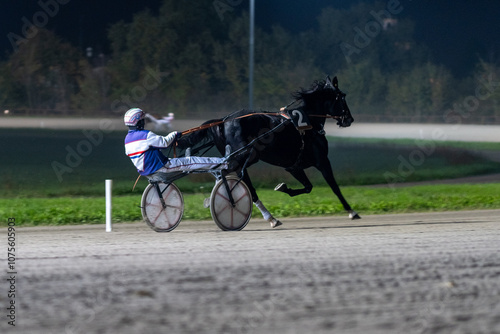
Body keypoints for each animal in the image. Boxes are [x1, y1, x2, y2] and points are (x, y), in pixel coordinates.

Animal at [178, 75, 362, 227]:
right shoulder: (322, 161)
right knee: (230, 175)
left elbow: (308, 187)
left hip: (245, 158)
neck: (308, 124)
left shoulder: (293, 166)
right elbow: (334, 187)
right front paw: (352, 212)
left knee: (244, 184)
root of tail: (223, 120)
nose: (349, 119)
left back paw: (270, 217)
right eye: (342, 97)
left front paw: (283, 187)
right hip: (246, 156)